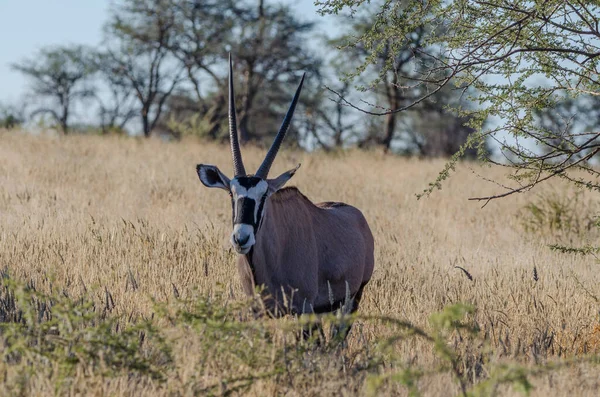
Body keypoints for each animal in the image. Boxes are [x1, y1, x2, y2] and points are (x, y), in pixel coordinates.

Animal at [197, 55, 376, 324]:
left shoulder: (303, 309)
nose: (241, 238)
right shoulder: (258, 312)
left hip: (351, 300)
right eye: (231, 193)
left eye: (264, 196)